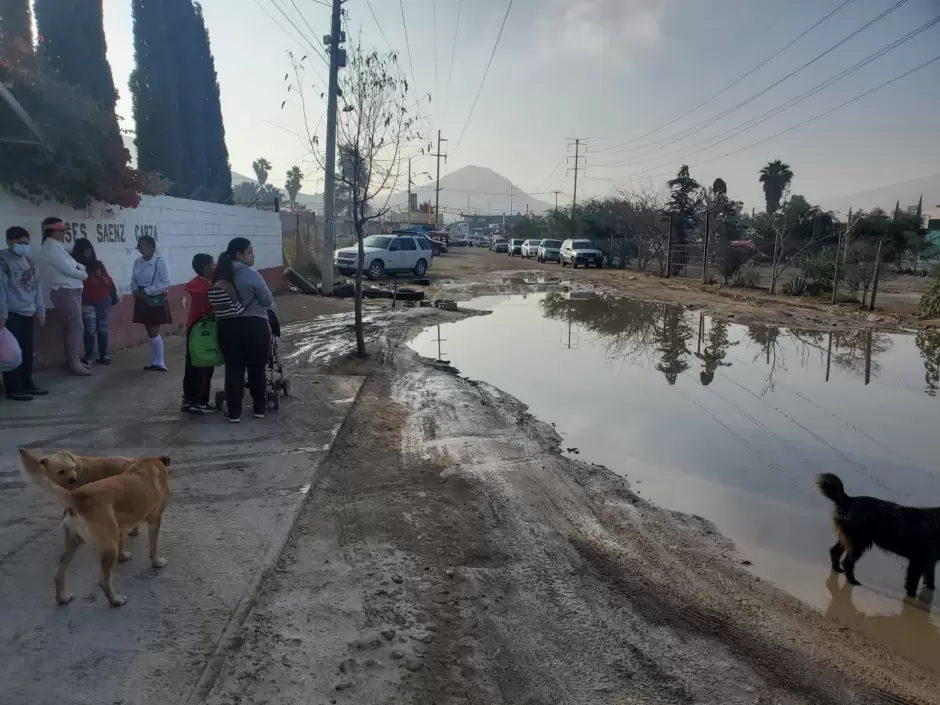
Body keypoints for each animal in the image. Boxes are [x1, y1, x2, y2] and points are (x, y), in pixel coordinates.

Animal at [19, 452, 173, 604]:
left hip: (74, 541)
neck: (148, 463)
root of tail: (76, 496)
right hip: (109, 545)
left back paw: (63, 597)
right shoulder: (155, 519)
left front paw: (124, 554)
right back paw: (116, 600)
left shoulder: (122, 523)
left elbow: (124, 537)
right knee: (103, 581)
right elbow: (154, 547)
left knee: (60, 570)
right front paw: (157, 562)